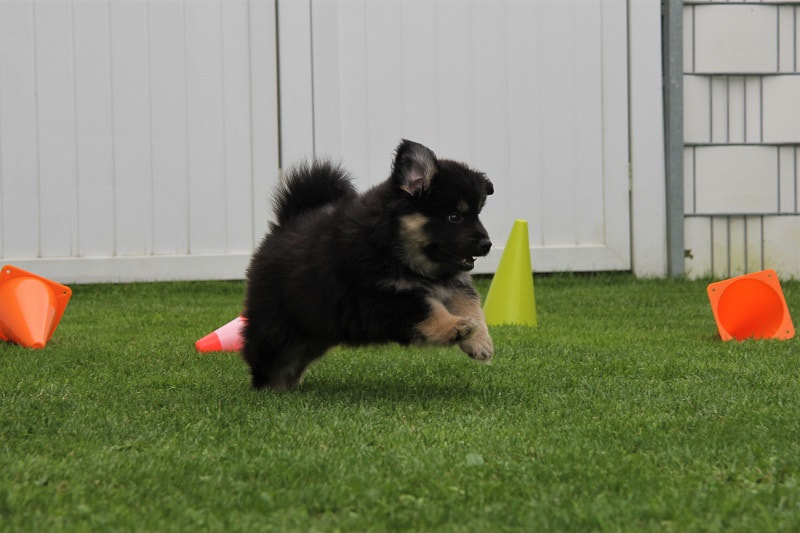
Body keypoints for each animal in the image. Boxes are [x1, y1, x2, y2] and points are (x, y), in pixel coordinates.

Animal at [242, 139, 494, 388]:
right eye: (454, 217)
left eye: (478, 214)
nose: (487, 244)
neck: (395, 249)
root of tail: (284, 225)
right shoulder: (381, 297)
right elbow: (427, 309)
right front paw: (457, 327)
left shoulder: (452, 283)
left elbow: (469, 303)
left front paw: (480, 342)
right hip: (277, 327)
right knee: (268, 356)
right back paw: (271, 387)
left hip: (316, 330)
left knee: (296, 359)